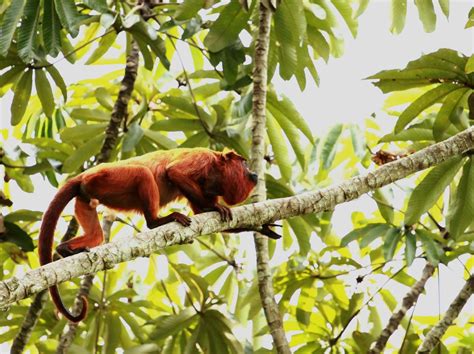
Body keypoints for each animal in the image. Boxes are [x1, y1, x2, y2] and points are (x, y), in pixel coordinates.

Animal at [38, 148, 264, 322]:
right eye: (244, 164)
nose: (254, 173)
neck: (217, 171)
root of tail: (84, 175)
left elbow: (202, 212)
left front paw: (265, 229)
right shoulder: (203, 156)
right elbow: (175, 172)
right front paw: (216, 207)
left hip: (85, 198)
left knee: (96, 236)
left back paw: (64, 249)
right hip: (106, 178)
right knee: (142, 173)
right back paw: (157, 221)